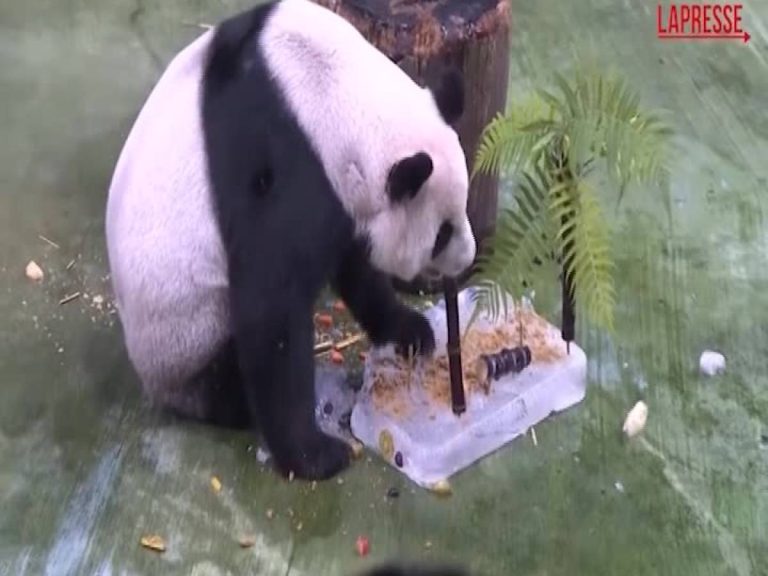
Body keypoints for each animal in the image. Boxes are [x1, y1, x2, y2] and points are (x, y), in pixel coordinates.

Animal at [105, 0, 476, 482]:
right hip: (186, 331)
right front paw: (315, 455)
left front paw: (409, 331)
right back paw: (235, 406)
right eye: (441, 233)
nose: (466, 259)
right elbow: (271, 307)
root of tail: (153, 384)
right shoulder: (282, 163)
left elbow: (354, 265)